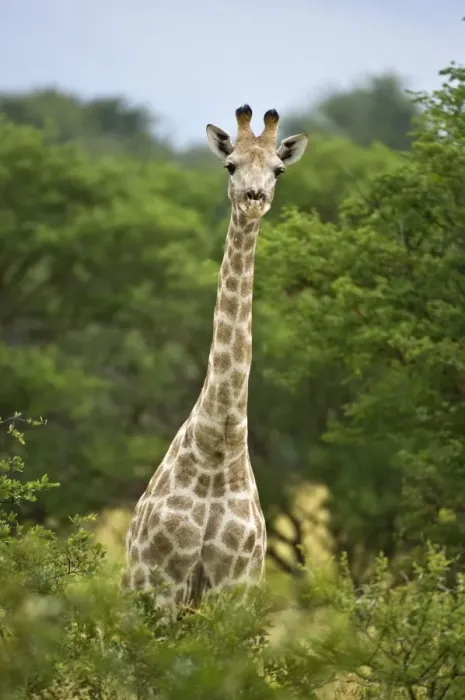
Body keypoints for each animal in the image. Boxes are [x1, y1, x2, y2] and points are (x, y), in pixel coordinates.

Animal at [122, 104, 308, 610]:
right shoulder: (163, 583)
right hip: (132, 589)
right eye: (230, 165)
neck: (219, 446)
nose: (254, 197)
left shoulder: (236, 589)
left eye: (278, 169)